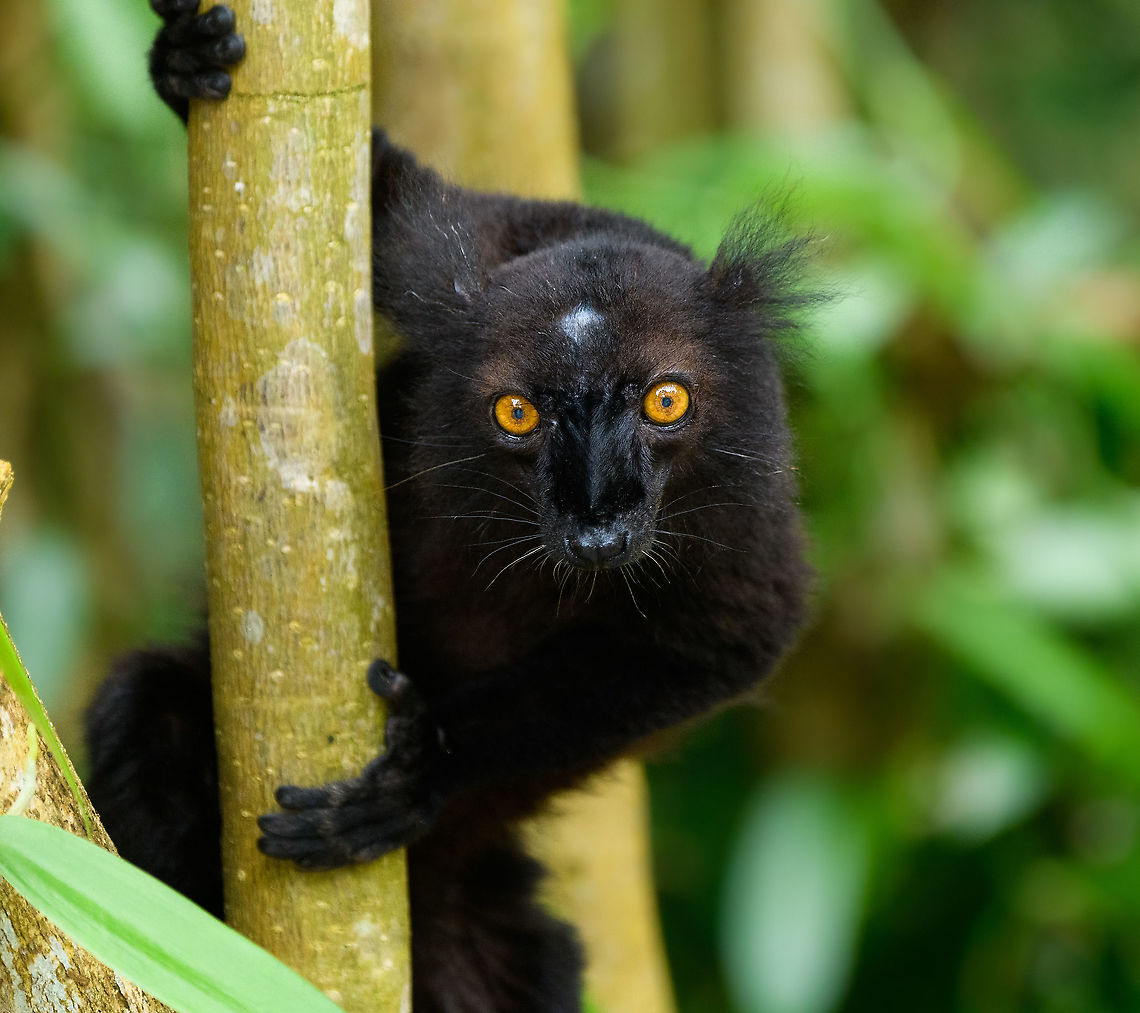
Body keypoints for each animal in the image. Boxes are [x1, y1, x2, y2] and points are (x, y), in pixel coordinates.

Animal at [85, 4, 813, 1010]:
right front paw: (185, 59)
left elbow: (731, 639)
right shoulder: (471, 234)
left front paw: (423, 762)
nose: (598, 520)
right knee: (141, 715)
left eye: (667, 401)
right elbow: (386, 197)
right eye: (517, 413)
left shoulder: (744, 504)